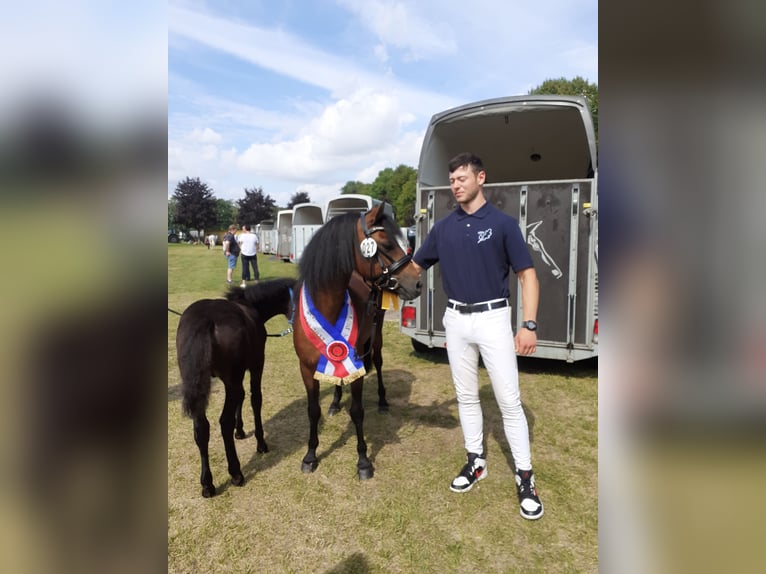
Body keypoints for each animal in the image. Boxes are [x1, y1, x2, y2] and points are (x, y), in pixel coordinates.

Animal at [294, 204, 424, 482]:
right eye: (386, 244)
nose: (417, 282)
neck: (327, 308)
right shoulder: (307, 369)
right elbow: (312, 410)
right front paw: (310, 455)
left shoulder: (357, 367)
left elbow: (357, 411)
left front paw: (363, 461)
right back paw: (334, 402)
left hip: (376, 341)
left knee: (379, 362)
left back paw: (383, 402)